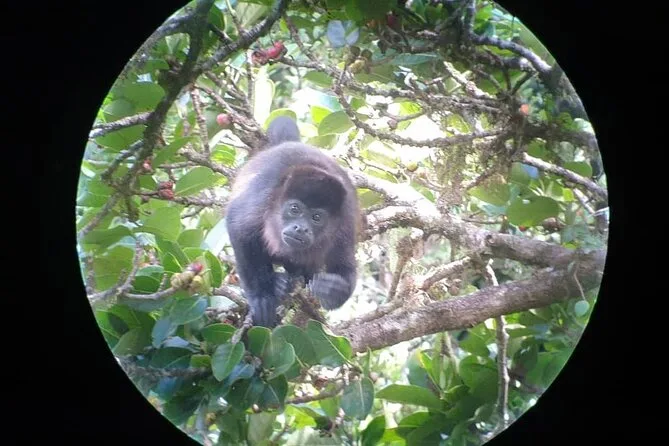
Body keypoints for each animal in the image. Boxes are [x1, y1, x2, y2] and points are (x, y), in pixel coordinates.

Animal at [225, 116, 361, 328]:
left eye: (316, 217)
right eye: (295, 209)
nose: (301, 229)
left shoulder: (345, 221)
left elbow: (344, 262)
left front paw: (334, 290)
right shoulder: (263, 197)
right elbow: (239, 228)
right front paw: (261, 296)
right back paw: (277, 283)